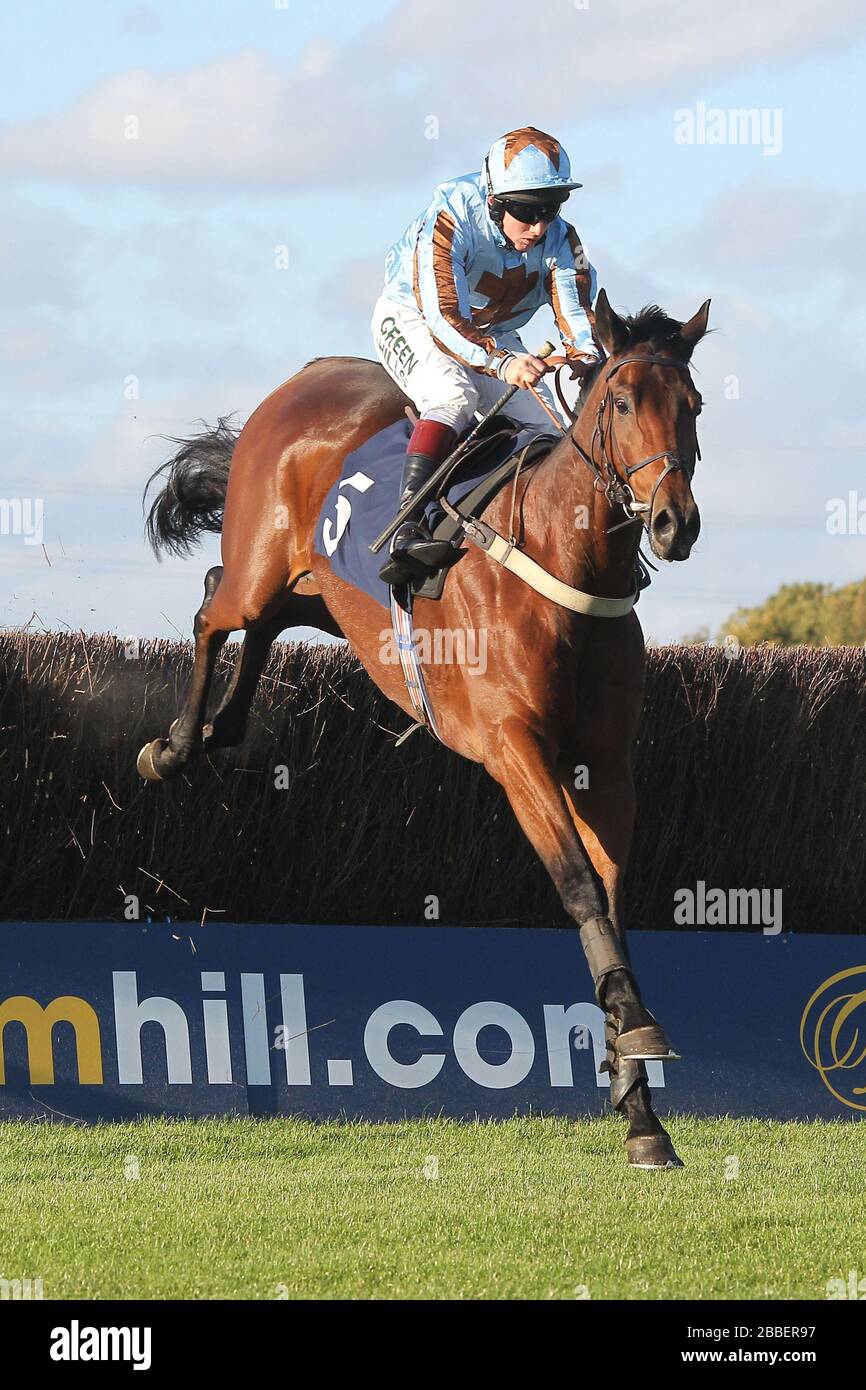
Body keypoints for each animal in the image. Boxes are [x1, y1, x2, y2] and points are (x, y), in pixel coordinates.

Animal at [139, 287, 711, 1167]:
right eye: (620, 402)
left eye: (694, 405)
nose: (674, 523)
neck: (565, 563)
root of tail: (306, 375)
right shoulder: (514, 751)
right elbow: (581, 887)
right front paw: (637, 1050)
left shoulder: (607, 764)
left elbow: (613, 905)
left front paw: (638, 1104)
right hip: (261, 566)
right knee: (213, 609)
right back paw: (172, 748)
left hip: (325, 595)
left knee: (254, 622)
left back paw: (220, 729)